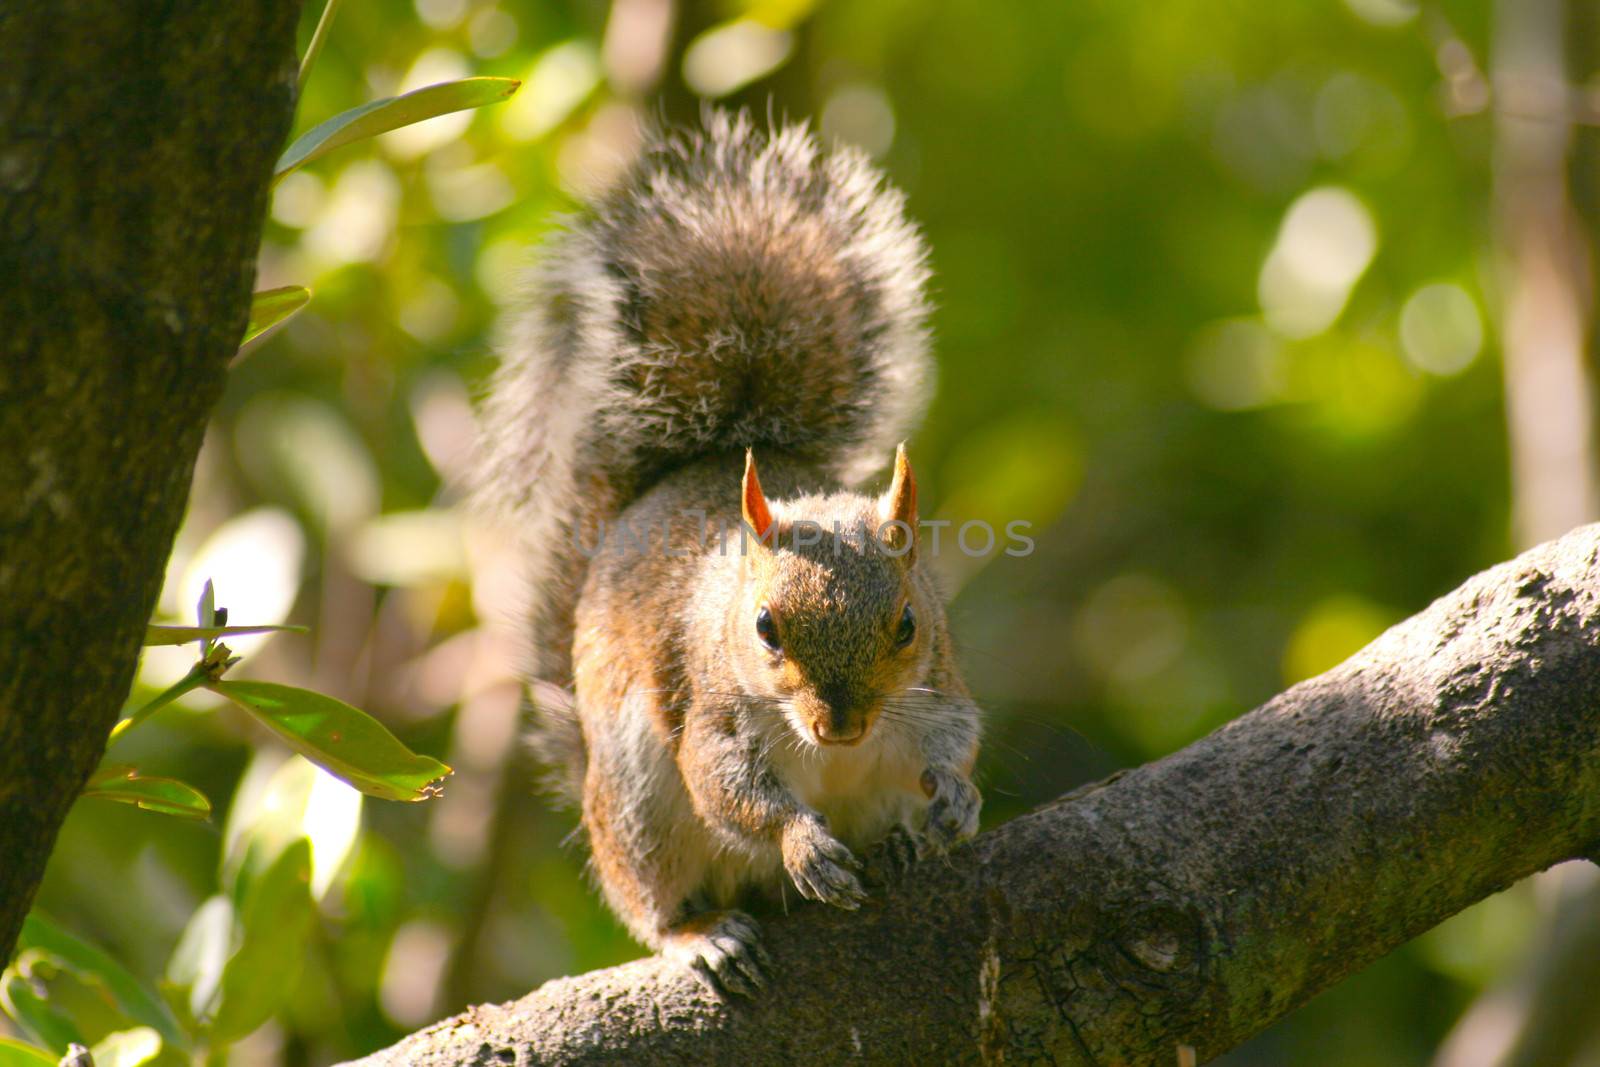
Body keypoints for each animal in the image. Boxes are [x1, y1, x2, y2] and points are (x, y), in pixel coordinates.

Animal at [473, 112, 979, 998]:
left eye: (909, 624)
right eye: (766, 628)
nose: (842, 725)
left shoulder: (937, 687)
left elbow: (959, 734)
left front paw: (955, 796)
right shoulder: (710, 712)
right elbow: (729, 788)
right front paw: (801, 839)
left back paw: (896, 843)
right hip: (637, 804)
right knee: (653, 898)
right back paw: (701, 933)